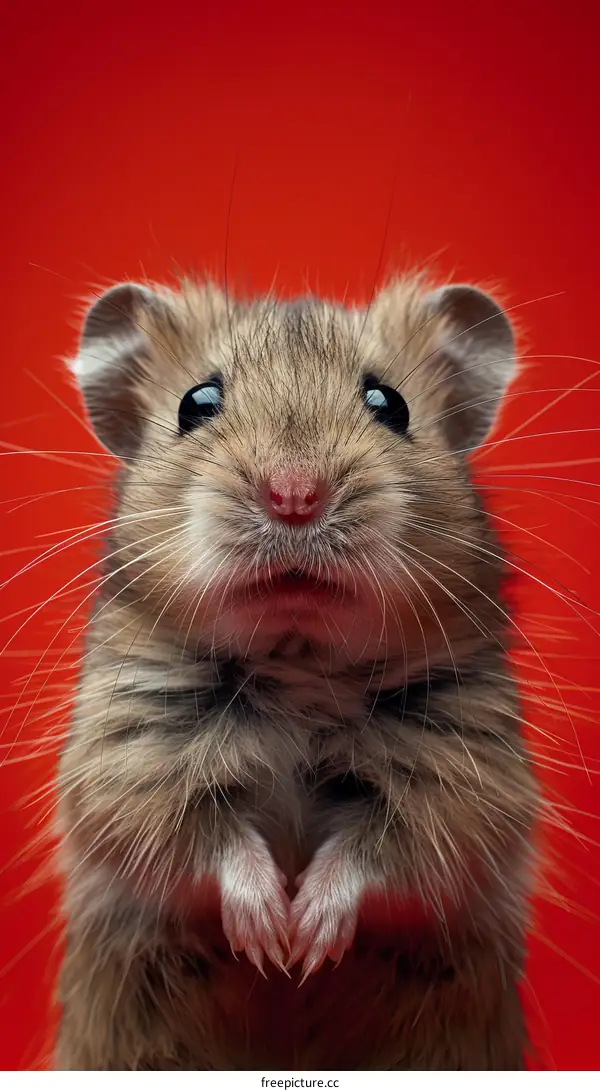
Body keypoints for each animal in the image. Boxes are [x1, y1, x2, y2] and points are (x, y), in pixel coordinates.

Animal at [55, 275, 539, 1070]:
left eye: (390, 404)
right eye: (196, 403)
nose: (293, 497)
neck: (298, 661)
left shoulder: (465, 776)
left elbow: (384, 848)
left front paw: (304, 942)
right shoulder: (129, 763)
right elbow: (204, 834)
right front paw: (270, 942)